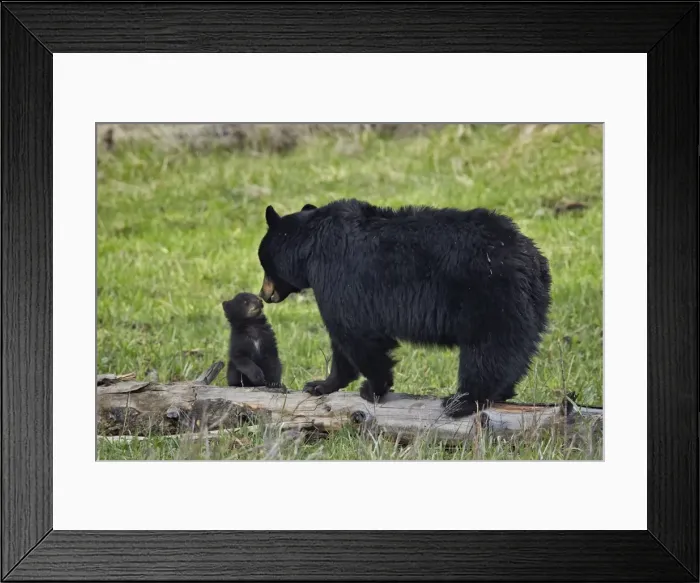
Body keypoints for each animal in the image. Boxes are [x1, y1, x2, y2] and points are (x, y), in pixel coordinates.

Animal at [256, 199, 552, 418]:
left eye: (264, 264)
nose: (263, 294)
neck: (311, 245)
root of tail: (530, 258)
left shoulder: (339, 278)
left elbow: (355, 334)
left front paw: (372, 388)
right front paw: (320, 384)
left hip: (489, 297)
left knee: (487, 350)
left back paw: (461, 401)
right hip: (530, 305)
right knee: (514, 351)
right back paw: (501, 393)